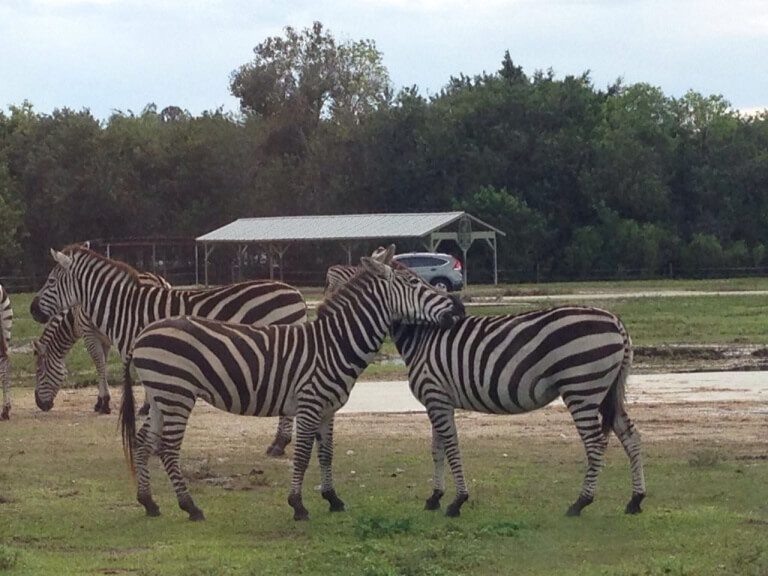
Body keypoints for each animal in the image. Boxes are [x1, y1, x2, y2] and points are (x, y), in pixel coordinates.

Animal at [33, 272, 172, 414]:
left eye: (39, 372)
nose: (39, 404)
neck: (74, 317)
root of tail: (159, 280)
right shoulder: (105, 340)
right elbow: (103, 364)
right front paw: (100, 402)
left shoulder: (89, 334)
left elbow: (99, 365)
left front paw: (104, 403)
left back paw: (147, 405)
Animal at [119, 249, 465, 521]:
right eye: (414, 283)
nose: (458, 309)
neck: (333, 345)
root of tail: (143, 334)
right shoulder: (309, 404)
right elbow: (301, 455)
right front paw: (298, 505)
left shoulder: (328, 408)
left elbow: (326, 454)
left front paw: (332, 499)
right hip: (177, 394)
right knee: (167, 448)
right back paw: (190, 507)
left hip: (160, 395)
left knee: (143, 442)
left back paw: (149, 502)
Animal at [326, 259, 645, 518]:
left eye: (419, 281)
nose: (458, 308)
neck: (422, 337)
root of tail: (616, 321)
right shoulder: (436, 400)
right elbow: (437, 448)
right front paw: (435, 497)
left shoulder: (436, 397)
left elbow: (451, 446)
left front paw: (457, 501)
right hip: (605, 391)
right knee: (630, 435)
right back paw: (635, 500)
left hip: (582, 388)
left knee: (595, 443)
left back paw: (580, 503)